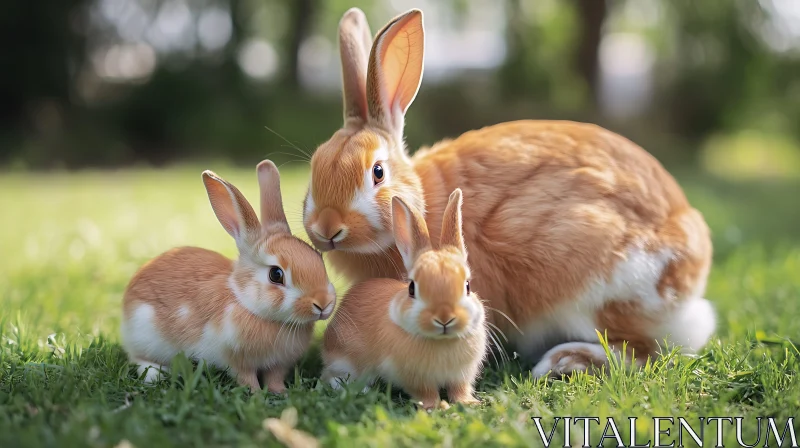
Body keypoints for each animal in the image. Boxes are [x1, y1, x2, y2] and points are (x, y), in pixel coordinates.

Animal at [119, 161, 334, 392]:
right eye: (276, 275)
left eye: (319, 257)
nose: (323, 304)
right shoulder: (236, 360)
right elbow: (246, 378)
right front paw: (256, 394)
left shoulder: (278, 364)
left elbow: (274, 378)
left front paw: (281, 393)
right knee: (139, 358)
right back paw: (155, 376)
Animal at [304, 7, 716, 378]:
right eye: (314, 166)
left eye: (377, 172)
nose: (326, 228)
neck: (421, 202)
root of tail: (690, 274)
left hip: (599, 286)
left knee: (641, 351)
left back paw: (563, 362)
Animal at [320, 189, 488, 410]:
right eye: (412, 288)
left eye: (467, 286)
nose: (444, 318)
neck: (442, 341)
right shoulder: (413, 377)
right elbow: (426, 392)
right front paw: (435, 406)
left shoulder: (461, 376)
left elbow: (459, 389)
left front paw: (469, 403)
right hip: (344, 360)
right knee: (329, 376)